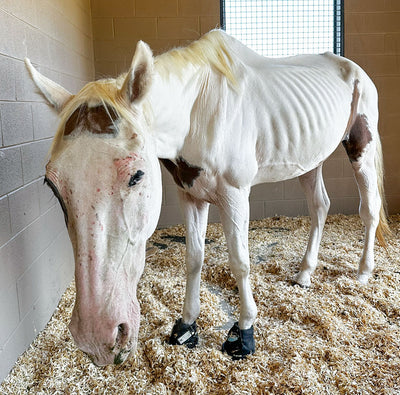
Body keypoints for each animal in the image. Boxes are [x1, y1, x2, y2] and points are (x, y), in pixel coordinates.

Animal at [25, 29, 390, 366]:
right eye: (52, 186)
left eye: (137, 175)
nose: (96, 337)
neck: (199, 109)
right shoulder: (190, 196)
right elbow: (194, 259)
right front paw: (186, 326)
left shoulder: (235, 195)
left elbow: (240, 262)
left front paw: (244, 333)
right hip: (309, 161)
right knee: (319, 208)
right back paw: (303, 274)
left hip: (360, 147)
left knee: (369, 209)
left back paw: (363, 272)